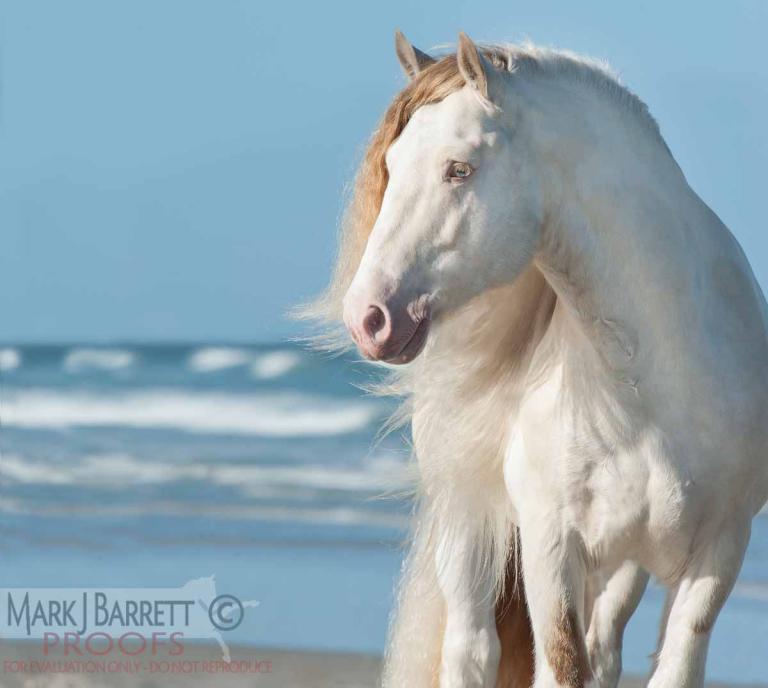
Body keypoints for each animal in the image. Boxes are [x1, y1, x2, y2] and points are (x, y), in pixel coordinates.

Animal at [303, 30, 768, 687]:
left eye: (459, 169)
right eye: (390, 167)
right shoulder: (551, 546)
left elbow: (665, 665)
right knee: (471, 648)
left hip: (621, 566)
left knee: (604, 648)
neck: (656, 382)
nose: (368, 317)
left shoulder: (720, 552)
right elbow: (562, 664)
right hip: (470, 526)